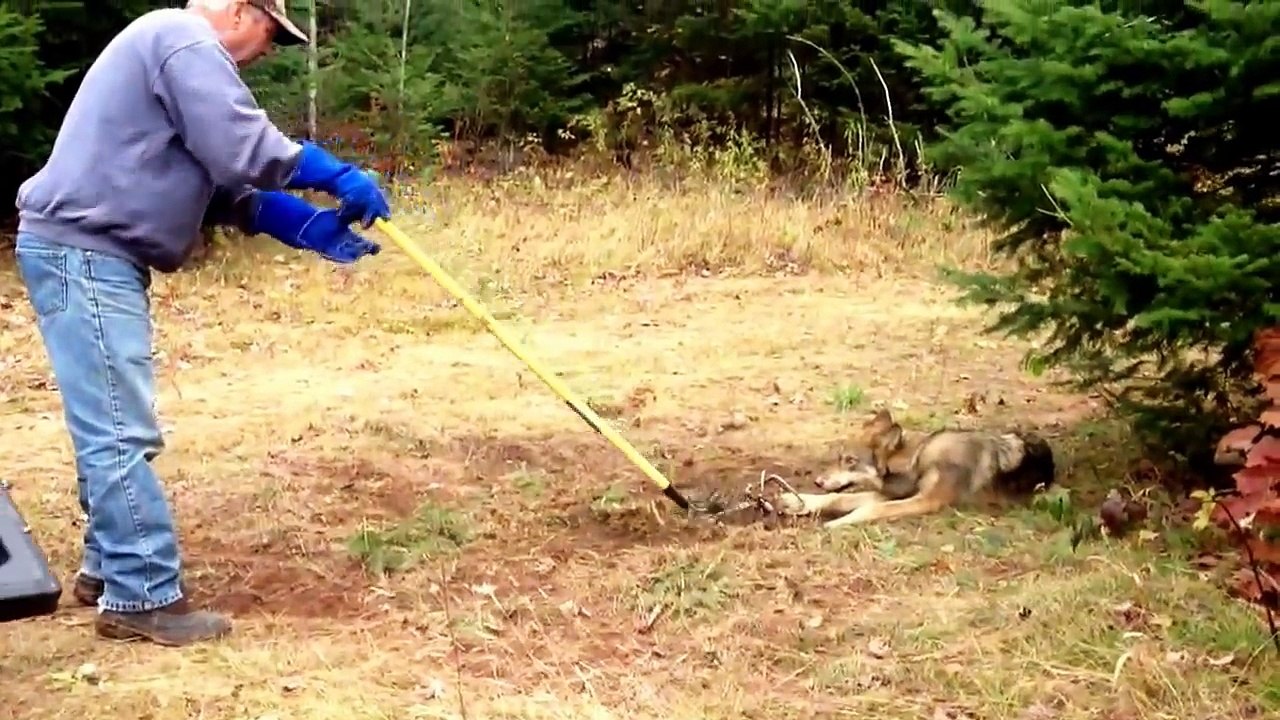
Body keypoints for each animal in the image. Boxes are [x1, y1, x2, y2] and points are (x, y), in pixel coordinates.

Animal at [775, 409, 1056, 529]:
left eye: (850, 461)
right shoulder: (898, 492)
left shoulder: (926, 500)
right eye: (839, 458)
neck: (918, 458)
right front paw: (798, 502)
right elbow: (837, 498)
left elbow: (872, 508)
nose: (818, 481)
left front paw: (840, 522)